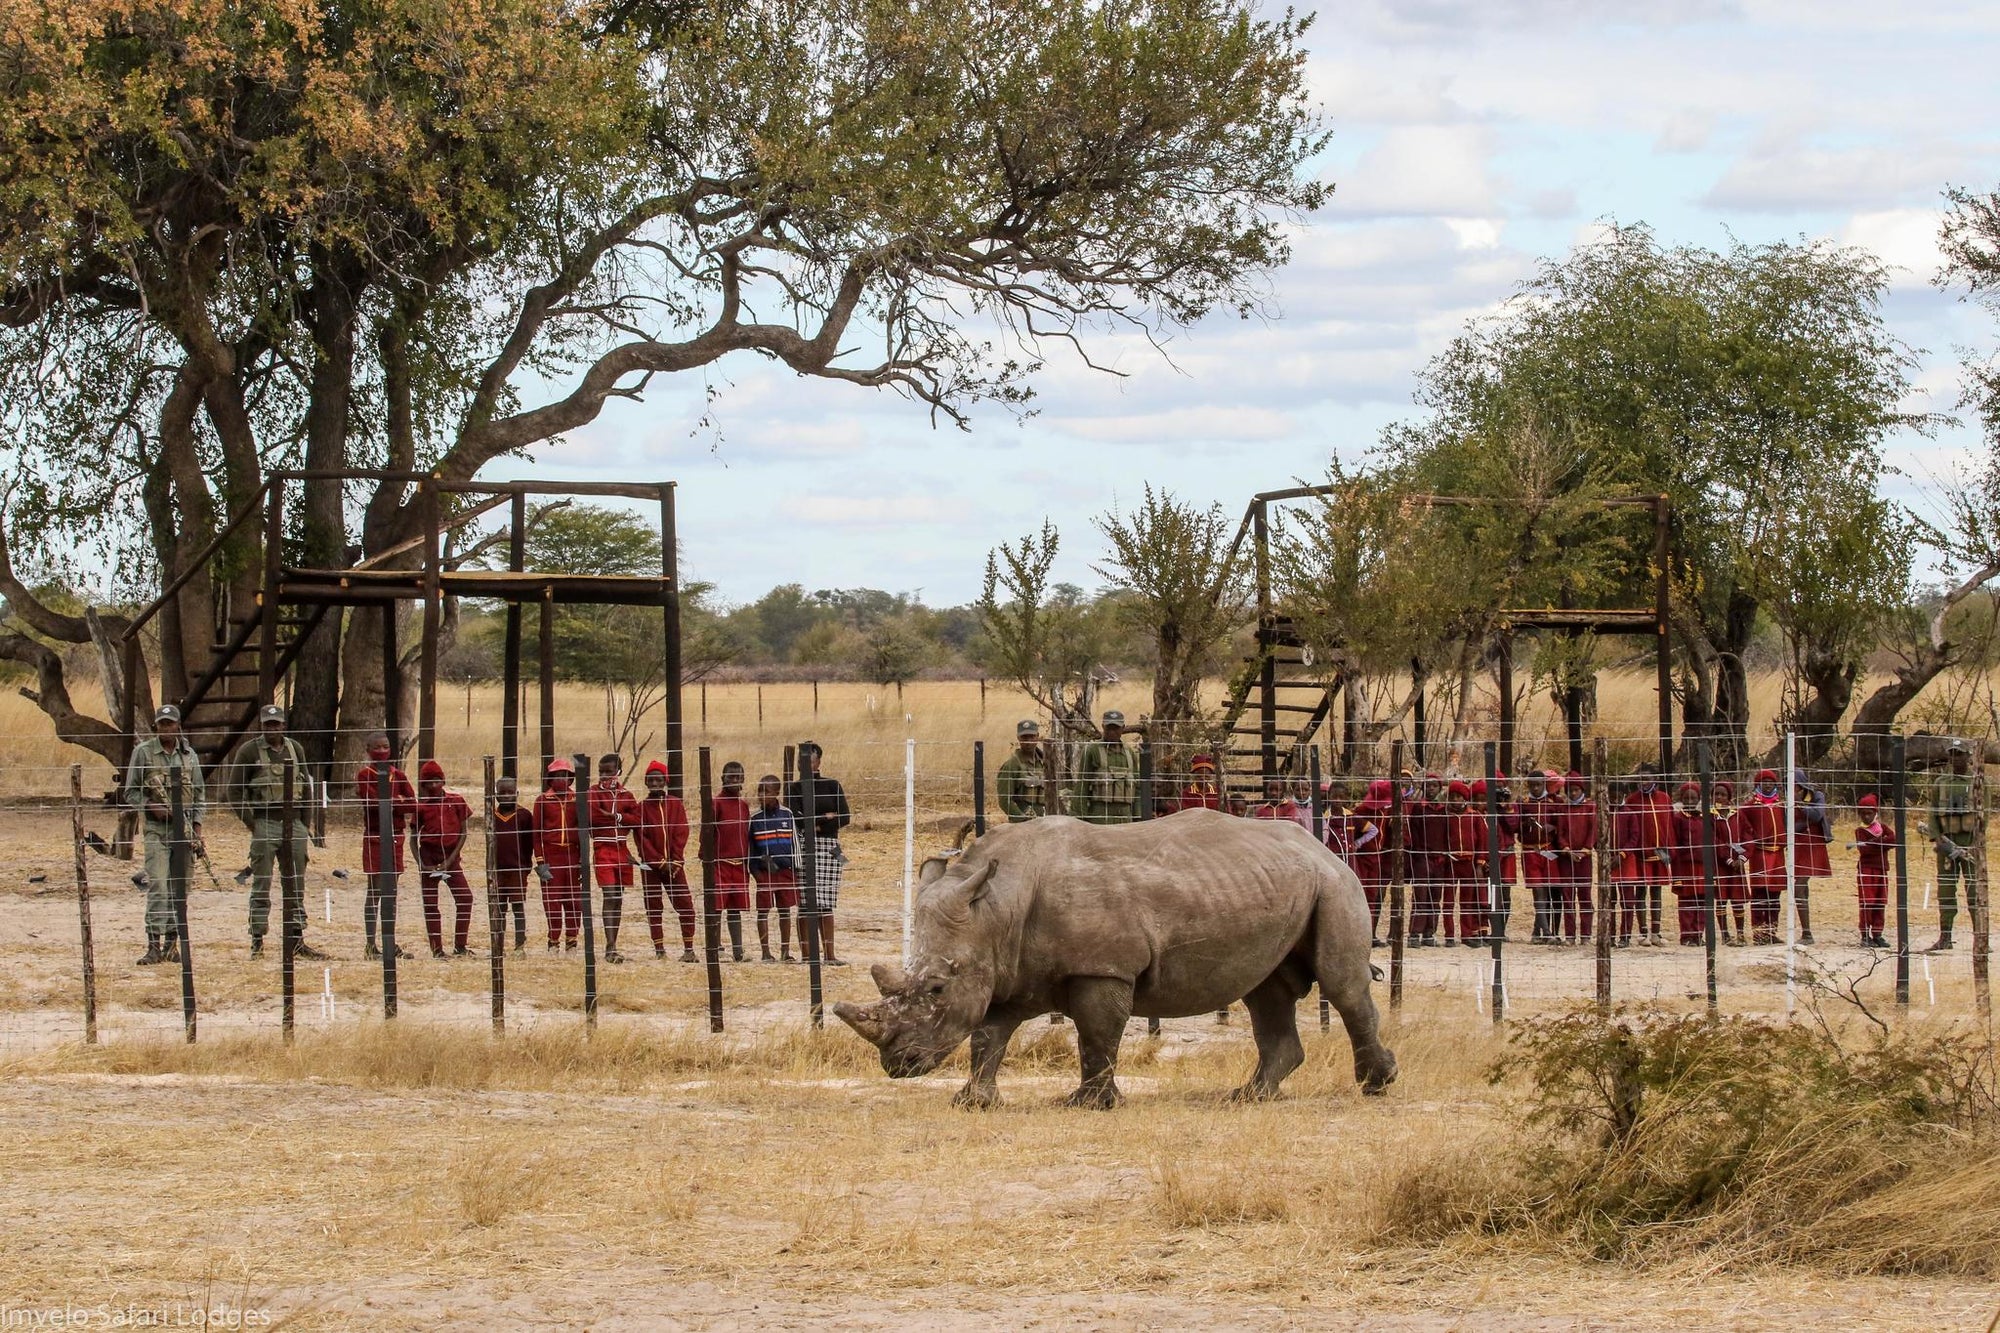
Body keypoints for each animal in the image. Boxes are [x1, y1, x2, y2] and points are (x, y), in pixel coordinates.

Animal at [833, 810, 1396, 1109]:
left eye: (936, 989)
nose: (897, 1066)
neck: (997, 908)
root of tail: (1322, 845)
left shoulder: (1102, 968)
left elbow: (1097, 1035)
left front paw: (1089, 1105)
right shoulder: (1006, 971)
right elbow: (989, 1037)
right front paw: (973, 1102)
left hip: (1335, 884)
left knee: (1340, 984)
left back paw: (1376, 1086)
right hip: (1283, 883)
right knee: (1266, 993)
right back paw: (1248, 1096)